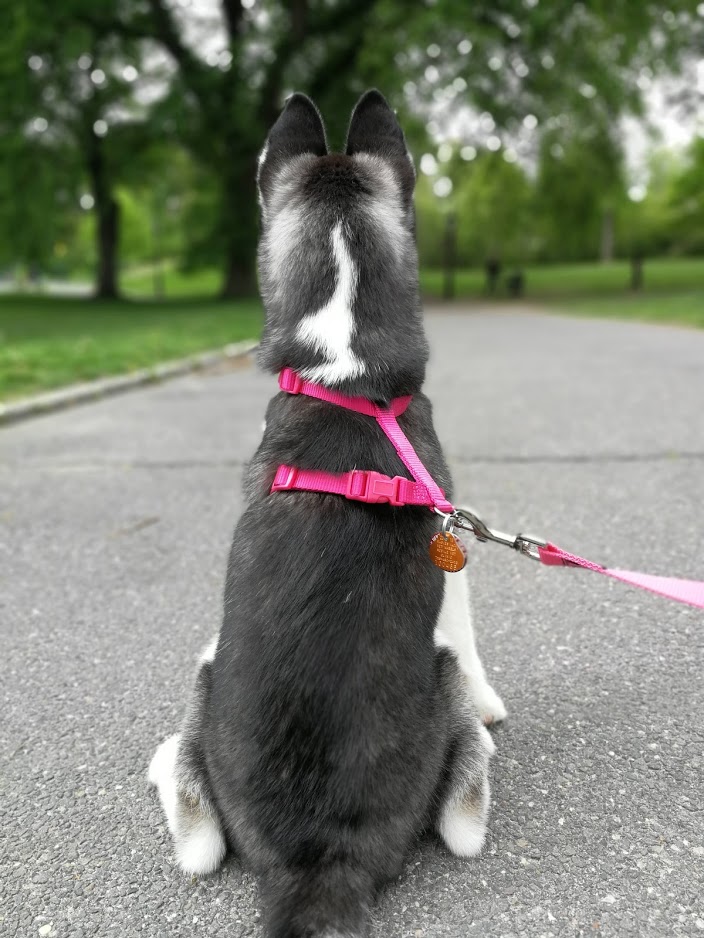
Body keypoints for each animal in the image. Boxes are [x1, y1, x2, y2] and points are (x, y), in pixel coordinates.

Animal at [150, 89, 506, 936]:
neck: (346, 373)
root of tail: (317, 858)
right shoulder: (452, 552)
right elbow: (474, 642)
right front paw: (491, 705)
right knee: (465, 817)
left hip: (205, 689)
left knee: (195, 829)